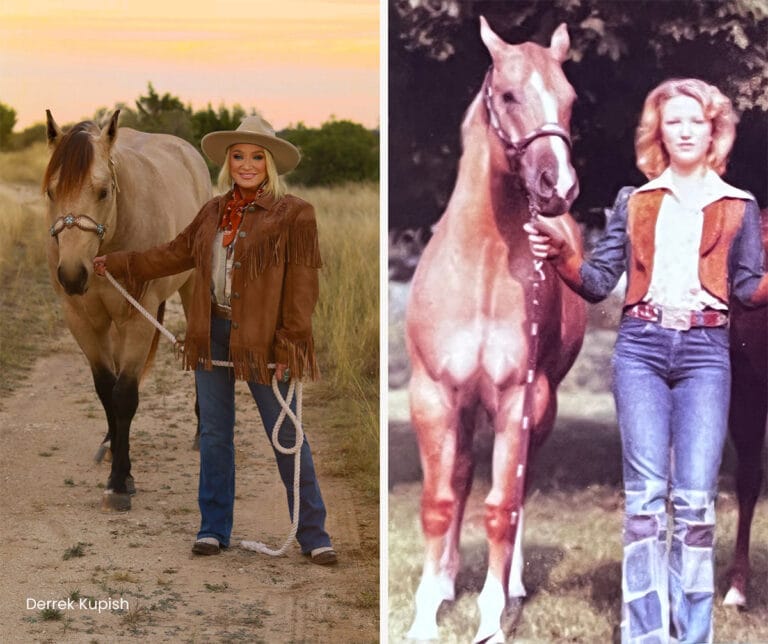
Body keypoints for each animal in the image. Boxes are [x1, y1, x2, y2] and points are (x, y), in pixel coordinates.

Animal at [43, 112, 212, 512]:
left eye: (103, 191)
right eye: (51, 192)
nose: (72, 274)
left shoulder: (138, 318)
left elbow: (125, 395)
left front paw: (119, 482)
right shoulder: (83, 320)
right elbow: (107, 389)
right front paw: (116, 453)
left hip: (191, 288)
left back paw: (202, 430)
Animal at [404, 20, 584, 644]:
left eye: (570, 99)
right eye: (507, 95)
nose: (558, 185)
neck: (480, 265)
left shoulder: (517, 398)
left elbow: (502, 507)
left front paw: (491, 617)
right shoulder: (433, 393)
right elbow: (440, 501)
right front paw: (424, 616)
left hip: (540, 407)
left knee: (518, 496)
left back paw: (514, 586)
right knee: (459, 479)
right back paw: (442, 583)